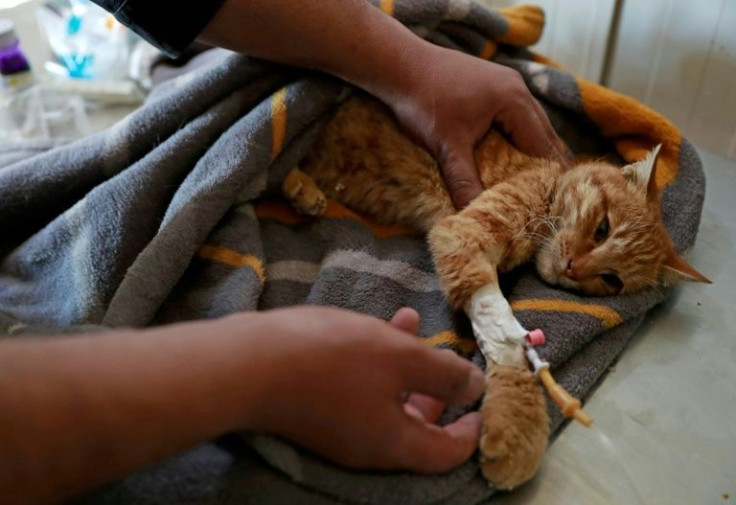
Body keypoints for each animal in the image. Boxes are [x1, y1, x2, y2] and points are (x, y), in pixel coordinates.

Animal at [282, 93, 708, 488]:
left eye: (612, 280)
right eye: (602, 228)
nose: (574, 269)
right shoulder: (464, 234)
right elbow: (506, 334)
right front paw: (521, 424)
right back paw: (299, 186)